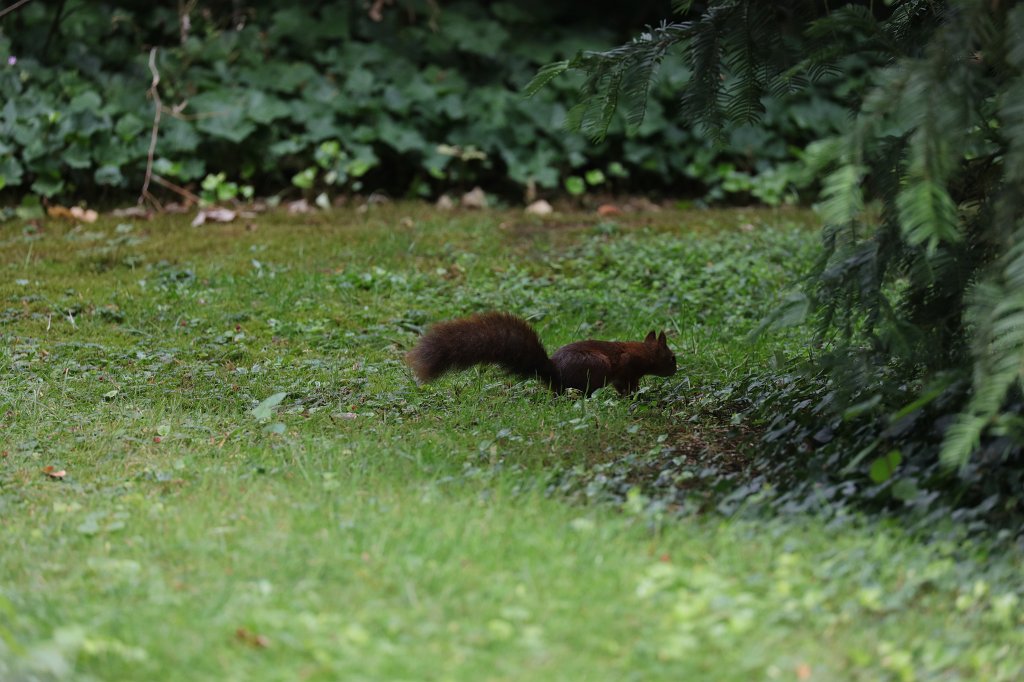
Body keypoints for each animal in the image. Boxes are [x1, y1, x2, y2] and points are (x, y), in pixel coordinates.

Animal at [406, 312, 676, 396]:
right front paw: (635, 396)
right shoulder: (627, 367)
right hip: (596, 367)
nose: (676, 370)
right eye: (672, 357)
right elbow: (626, 385)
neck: (644, 352)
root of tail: (554, 371)